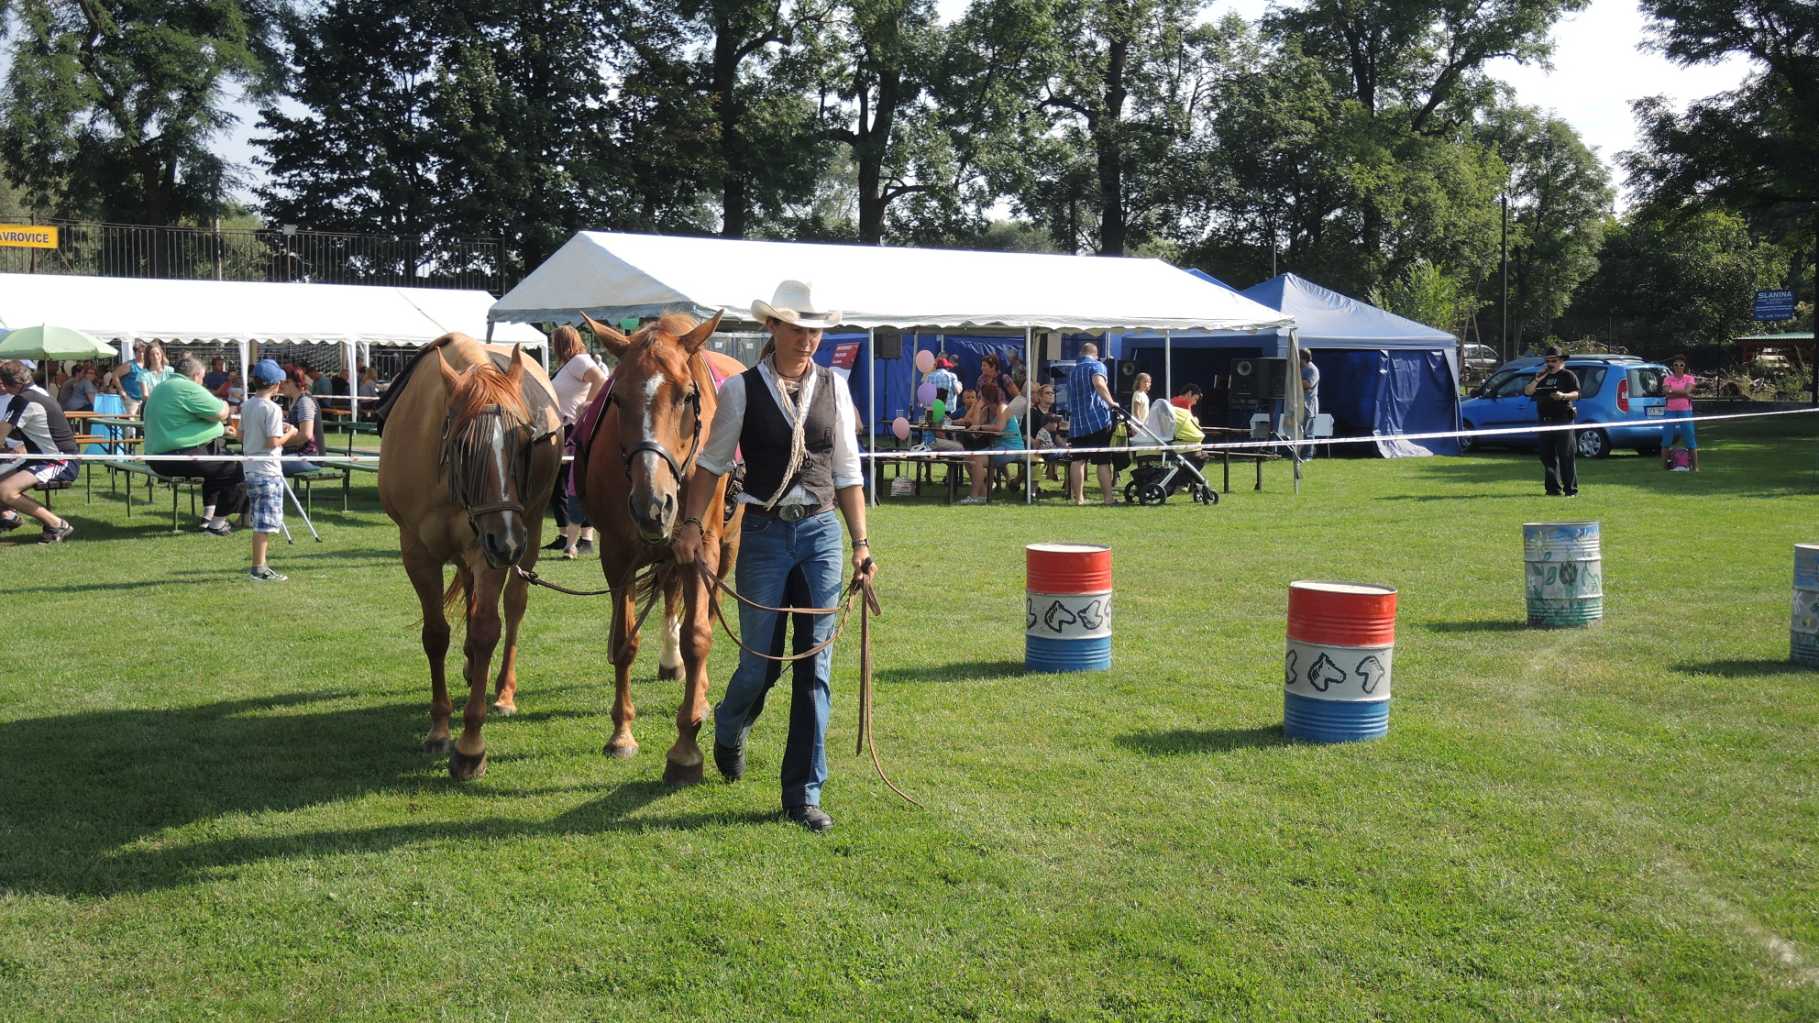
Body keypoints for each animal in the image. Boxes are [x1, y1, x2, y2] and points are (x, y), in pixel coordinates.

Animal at [376, 331, 560, 775]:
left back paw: (503, 691)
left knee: (513, 605)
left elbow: (486, 630)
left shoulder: (489, 547)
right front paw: (440, 728)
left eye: (526, 444)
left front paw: (471, 746)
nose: (508, 541)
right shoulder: (416, 551)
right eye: (462, 446)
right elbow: (435, 634)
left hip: (526, 530)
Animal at [578, 309, 742, 779]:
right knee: (670, 595)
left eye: (687, 397)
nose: (652, 505)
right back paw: (671, 664)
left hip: (726, 551)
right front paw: (621, 733)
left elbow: (698, 636)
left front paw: (686, 747)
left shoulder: (702, 550)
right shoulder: (617, 556)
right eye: (617, 399)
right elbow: (623, 642)